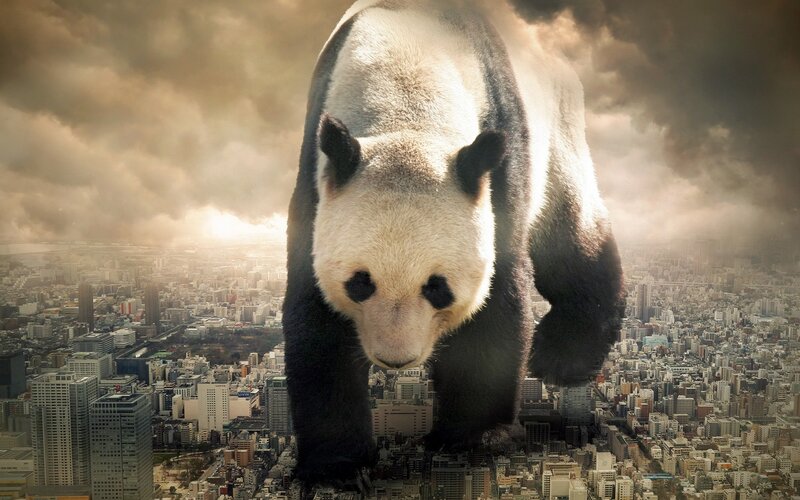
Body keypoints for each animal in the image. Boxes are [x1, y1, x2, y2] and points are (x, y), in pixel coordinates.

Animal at [284, 0, 625, 486]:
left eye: (437, 287)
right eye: (360, 283)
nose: (395, 360)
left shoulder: (499, 169)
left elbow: (495, 303)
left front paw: (473, 438)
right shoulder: (318, 179)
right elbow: (317, 317)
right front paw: (337, 466)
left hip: (559, 133)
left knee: (573, 241)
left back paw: (565, 355)